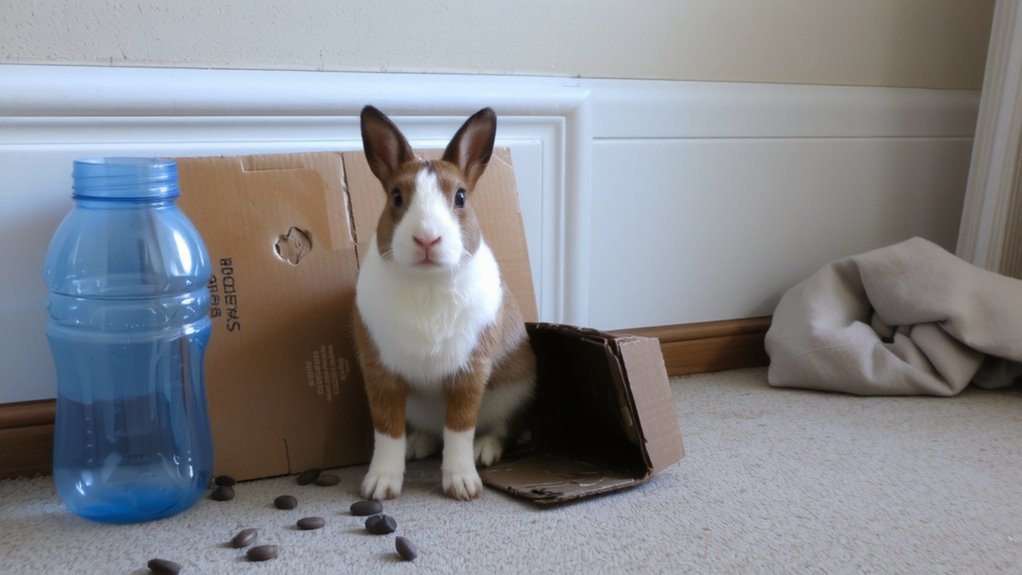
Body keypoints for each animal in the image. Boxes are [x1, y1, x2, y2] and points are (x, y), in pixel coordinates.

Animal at [352, 106, 537, 501]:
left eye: (461, 197)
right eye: (396, 198)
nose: (427, 239)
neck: (427, 282)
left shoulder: (470, 372)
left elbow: (459, 429)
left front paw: (463, 485)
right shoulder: (381, 374)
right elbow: (386, 432)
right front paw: (379, 486)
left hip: (515, 394)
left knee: (501, 428)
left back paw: (485, 451)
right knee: (430, 435)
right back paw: (416, 445)